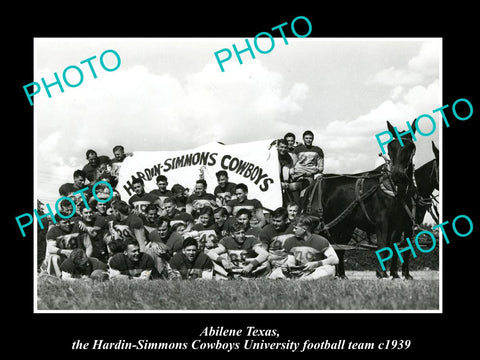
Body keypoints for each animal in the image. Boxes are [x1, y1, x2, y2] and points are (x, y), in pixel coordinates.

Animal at [302, 121, 418, 278]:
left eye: (410, 147)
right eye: (390, 147)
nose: (397, 175)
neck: (396, 192)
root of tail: (315, 182)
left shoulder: (401, 225)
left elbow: (399, 248)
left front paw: (399, 274)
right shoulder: (382, 223)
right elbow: (383, 246)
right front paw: (382, 273)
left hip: (343, 226)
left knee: (338, 248)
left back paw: (341, 274)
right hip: (320, 222)